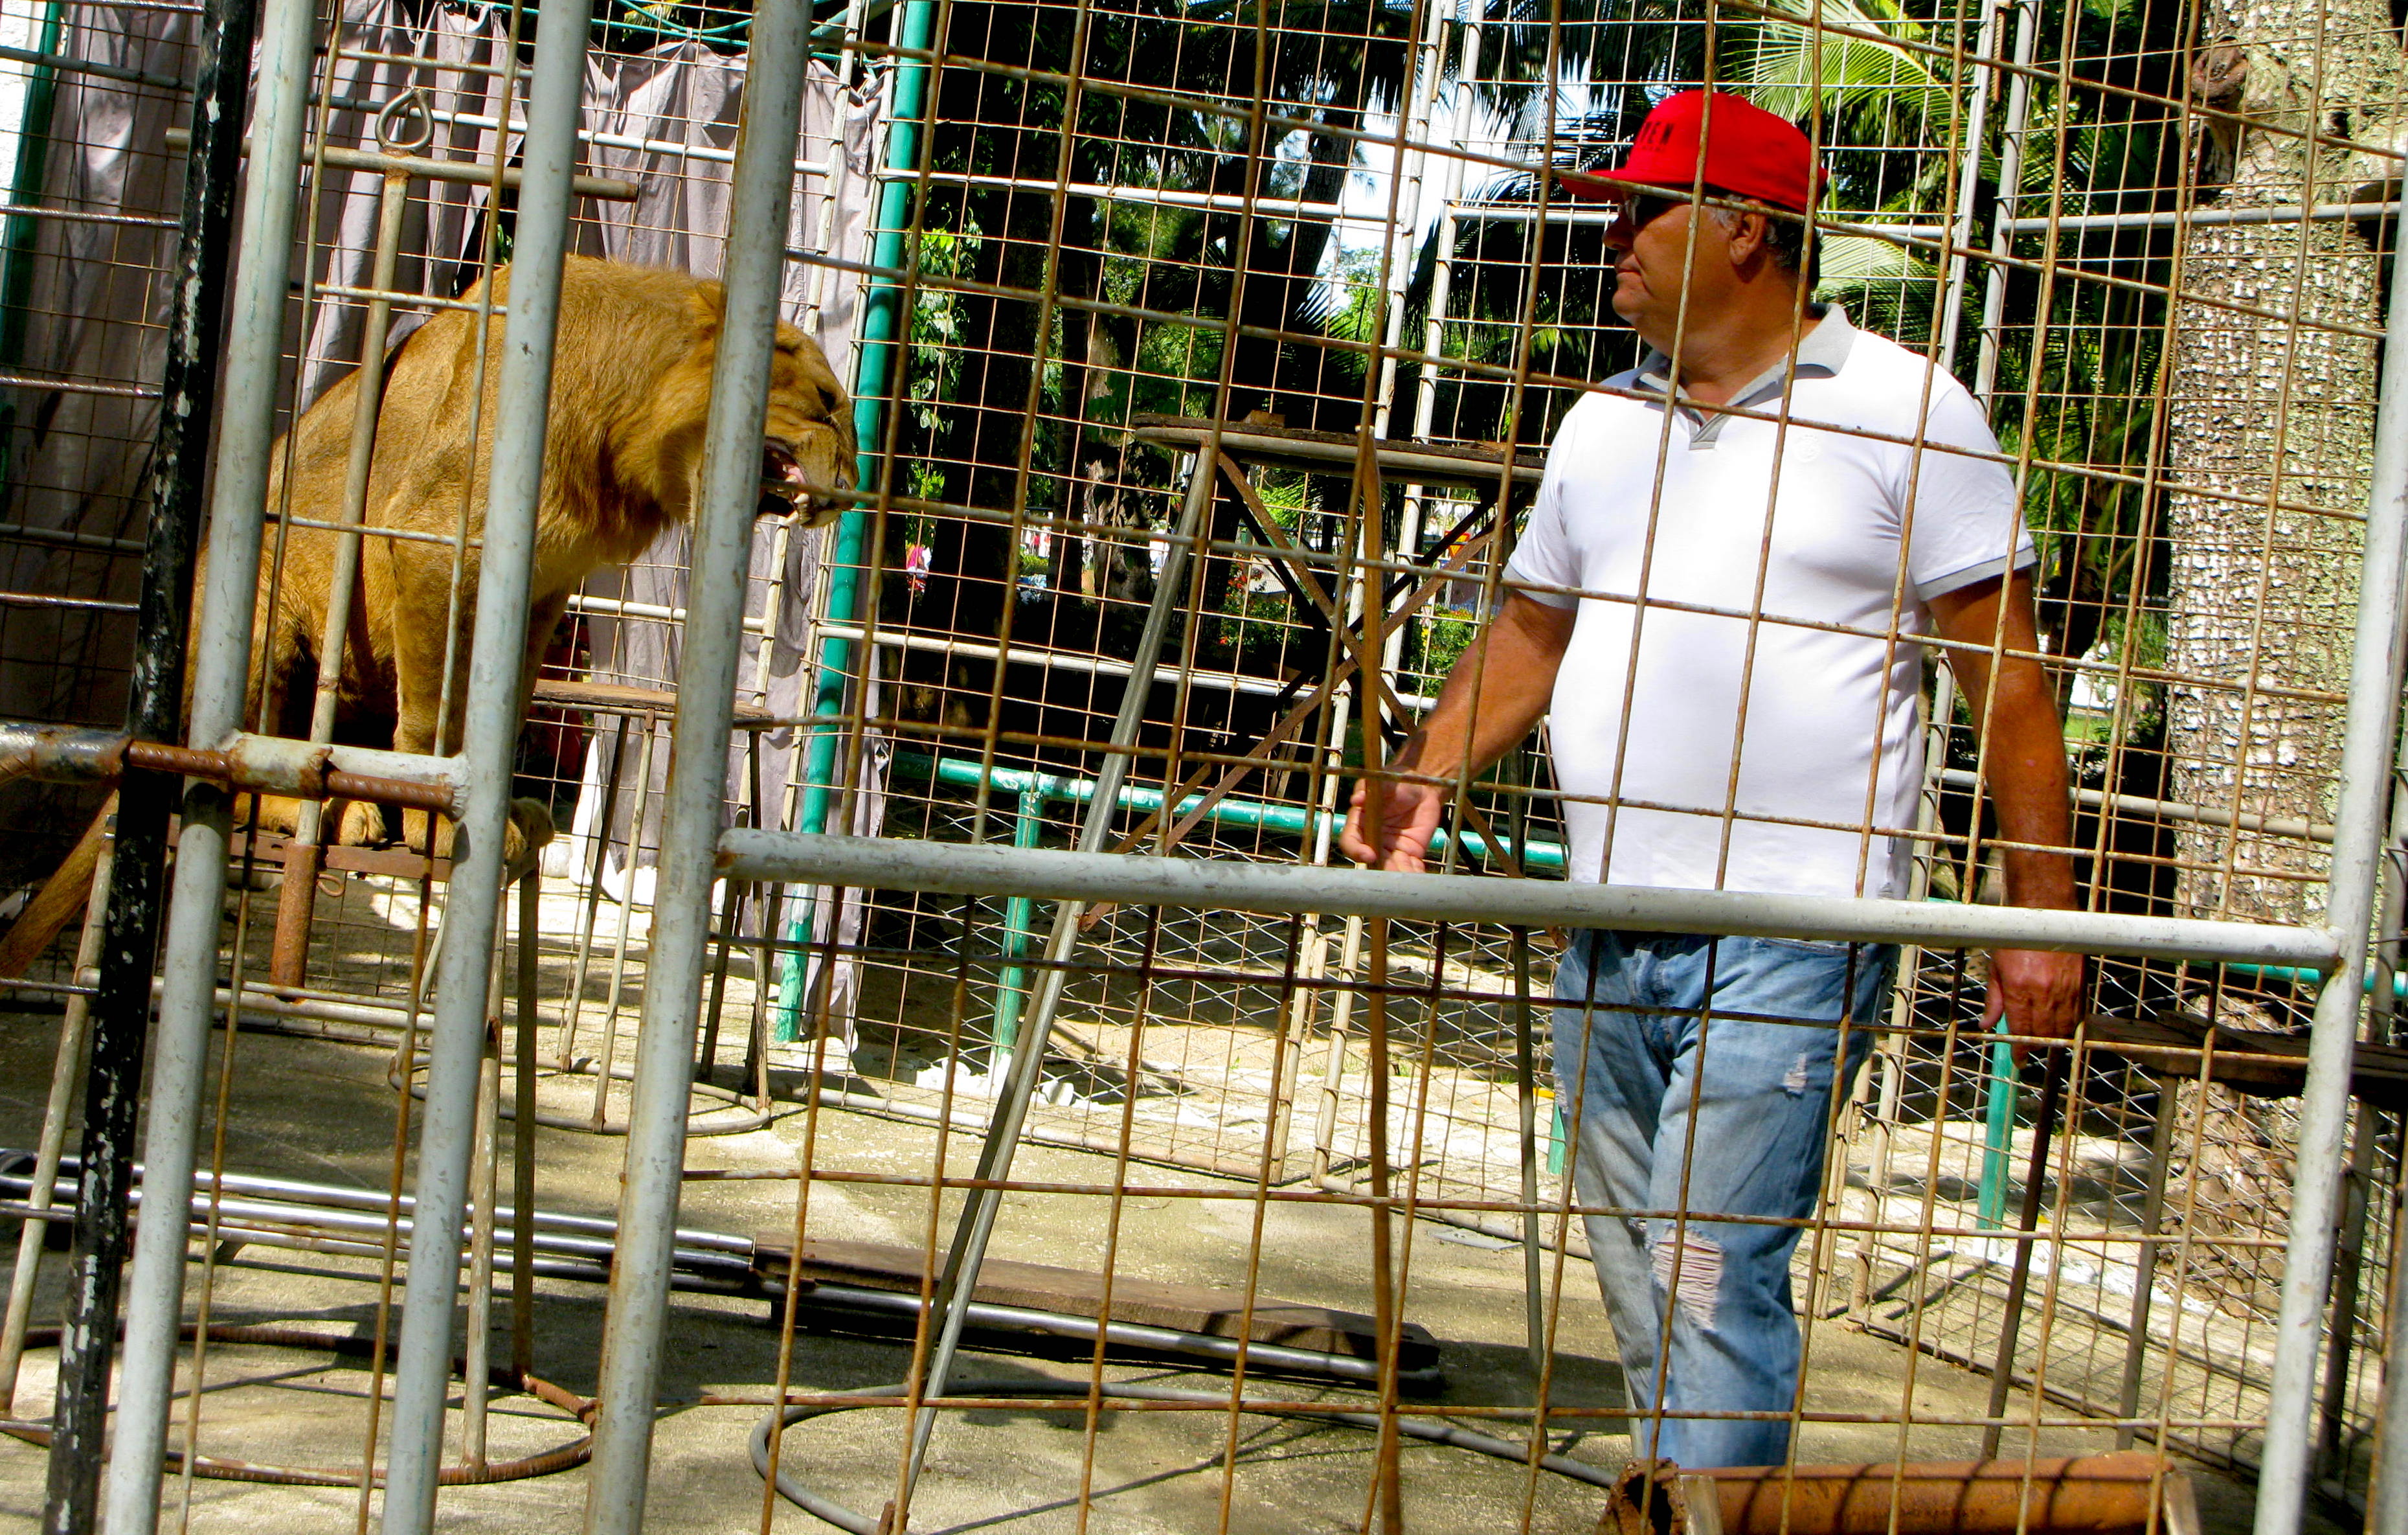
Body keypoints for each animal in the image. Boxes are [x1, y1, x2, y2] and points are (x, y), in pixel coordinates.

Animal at [0, 251, 857, 968]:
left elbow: (502, 703)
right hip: (259, 621)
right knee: (223, 768)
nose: (849, 491)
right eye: (824, 403)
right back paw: (325, 810)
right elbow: (435, 708)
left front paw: (503, 805)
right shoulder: (432, 542)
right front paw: (441, 816)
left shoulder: (542, 590)